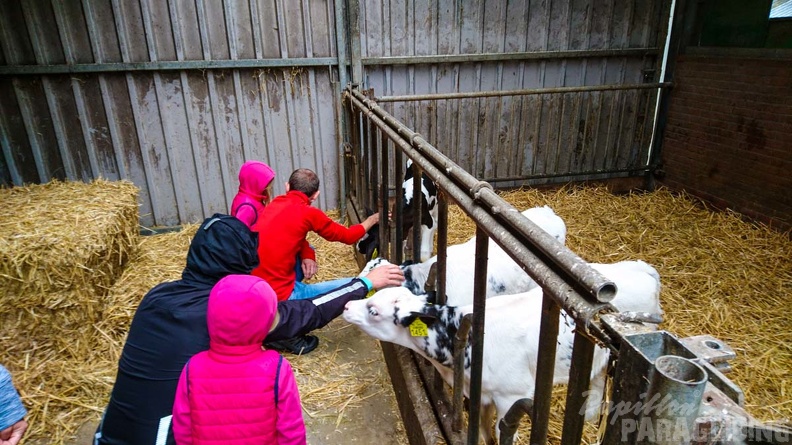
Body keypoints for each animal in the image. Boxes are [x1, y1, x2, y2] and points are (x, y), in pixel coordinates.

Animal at [346, 260, 664, 444]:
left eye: (374, 310)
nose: (347, 306)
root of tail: (644, 268)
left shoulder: (511, 396)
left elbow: (501, 432)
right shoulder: (481, 393)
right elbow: (484, 431)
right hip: (599, 360)